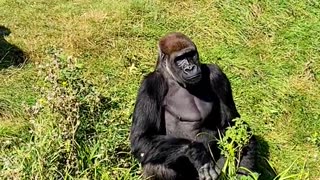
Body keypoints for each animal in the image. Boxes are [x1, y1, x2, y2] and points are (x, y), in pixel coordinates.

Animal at [129, 32, 256, 180]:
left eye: (190, 54)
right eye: (179, 59)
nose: (190, 68)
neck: (173, 78)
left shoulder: (217, 74)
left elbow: (233, 124)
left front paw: (244, 169)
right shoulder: (150, 85)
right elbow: (142, 137)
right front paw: (196, 152)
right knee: (156, 164)